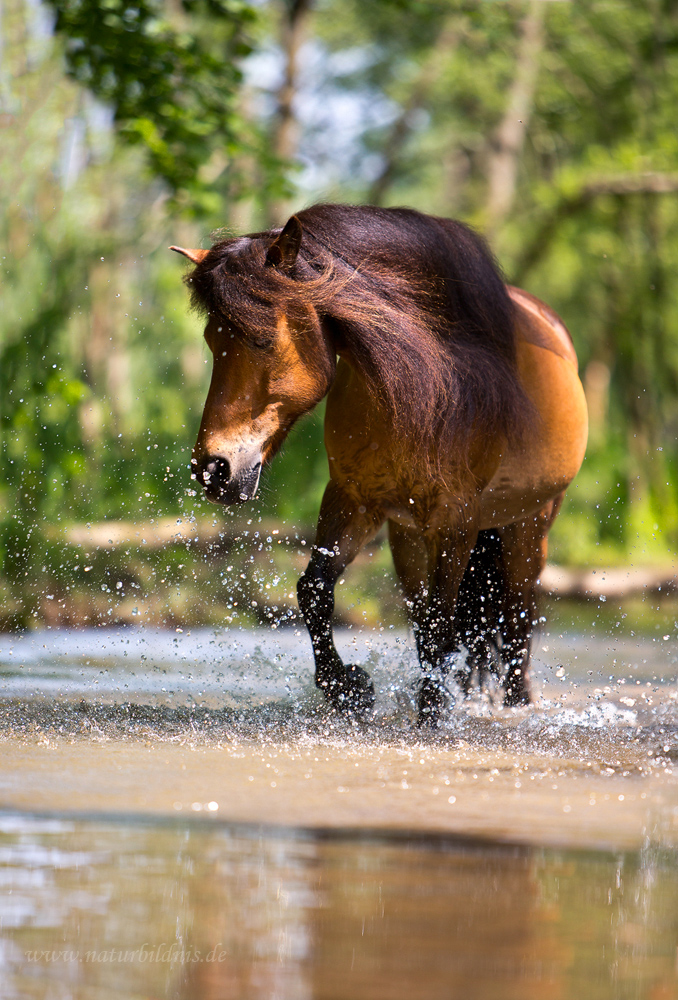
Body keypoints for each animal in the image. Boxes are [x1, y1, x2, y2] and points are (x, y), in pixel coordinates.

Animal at [171, 203, 588, 724]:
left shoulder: (457, 520)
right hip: (408, 537)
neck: (421, 386)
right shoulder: (354, 499)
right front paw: (348, 689)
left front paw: (430, 716)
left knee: (515, 625)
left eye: (262, 340)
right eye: (212, 340)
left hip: (529, 527)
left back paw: (512, 704)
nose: (214, 468)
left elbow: (443, 625)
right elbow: (316, 591)